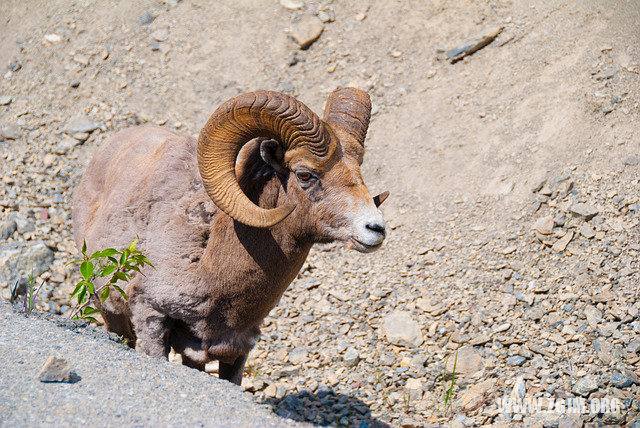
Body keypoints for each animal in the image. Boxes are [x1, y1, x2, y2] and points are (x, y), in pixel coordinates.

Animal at [72, 88, 388, 382]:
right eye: (305, 174)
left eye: (358, 171)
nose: (376, 228)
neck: (210, 269)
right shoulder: (150, 318)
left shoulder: (235, 349)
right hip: (111, 312)